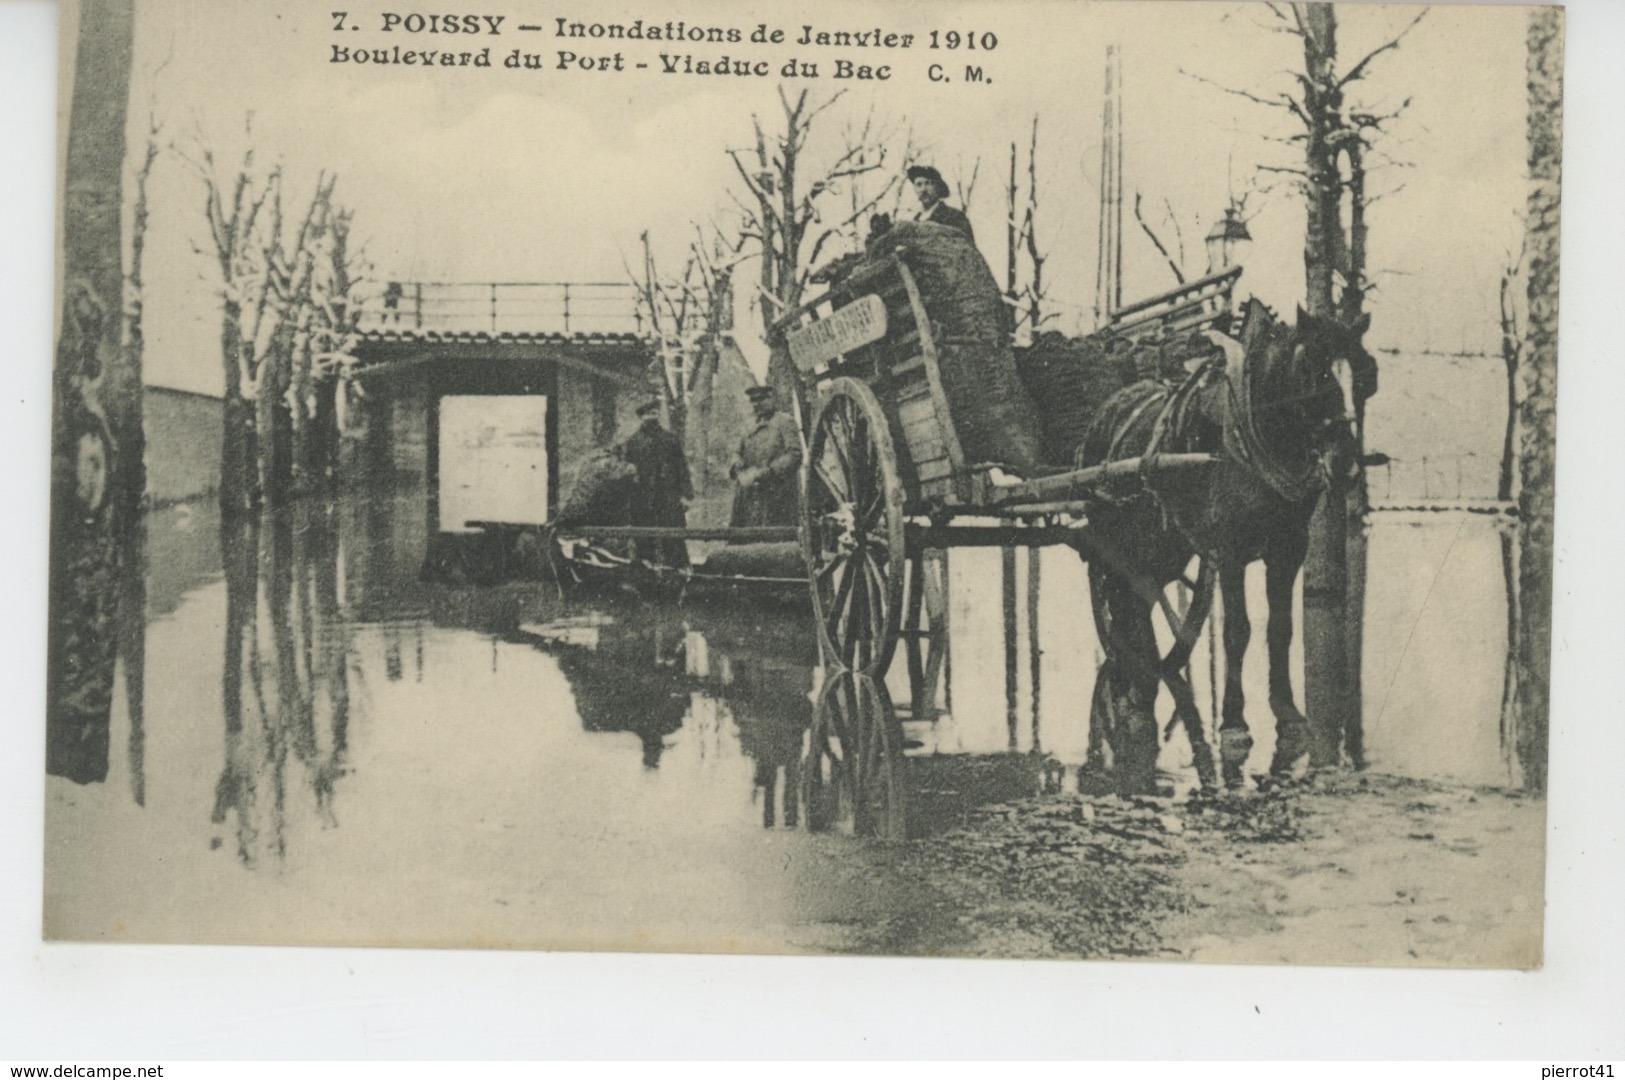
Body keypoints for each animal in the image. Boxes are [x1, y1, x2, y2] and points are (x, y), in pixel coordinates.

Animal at [1072, 300, 1378, 792]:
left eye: (1367, 375)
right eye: (1312, 371)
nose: (1345, 463)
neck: (1255, 432)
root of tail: (1107, 411)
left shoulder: (1288, 549)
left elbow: (1280, 629)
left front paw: (1289, 718)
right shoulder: (1231, 547)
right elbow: (1238, 631)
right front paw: (1234, 723)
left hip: (1165, 544)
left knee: (1139, 597)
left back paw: (1143, 672)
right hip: (1117, 537)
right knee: (1121, 596)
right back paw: (1132, 683)